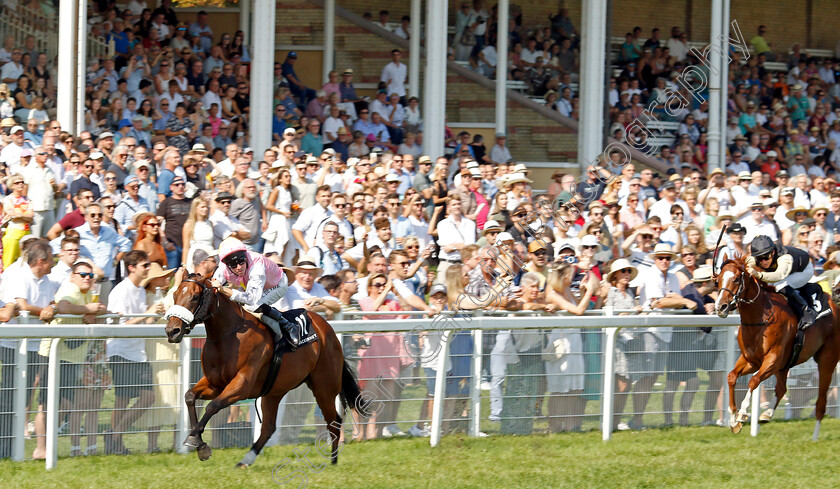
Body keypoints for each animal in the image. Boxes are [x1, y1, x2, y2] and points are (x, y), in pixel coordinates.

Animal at [162, 272, 366, 468]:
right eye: (174, 294)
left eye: (195, 296)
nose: (172, 331)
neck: (228, 335)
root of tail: (327, 329)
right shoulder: (215, 384)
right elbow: (189, 396)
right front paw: (200, 444)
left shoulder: (242, 385)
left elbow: (213, 406)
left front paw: (195, 441)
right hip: (274, 391)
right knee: (268, 427)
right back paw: (245, 461)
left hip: (324, 387)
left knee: (334, 420)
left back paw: (333, 461)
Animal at [716, 255, 840, 438]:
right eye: (717, 279)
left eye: (737, 279)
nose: (720, 307)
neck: (759, 319)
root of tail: (835, 306)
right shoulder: (751, 360)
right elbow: (731, 377)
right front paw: (733, 421)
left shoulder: (772, 360)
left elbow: (753, 381)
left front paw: (743, 413)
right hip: (786, 363)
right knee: (781, 388)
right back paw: (766, 415)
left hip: (827, 360)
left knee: (821, 402)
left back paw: (814, 437)